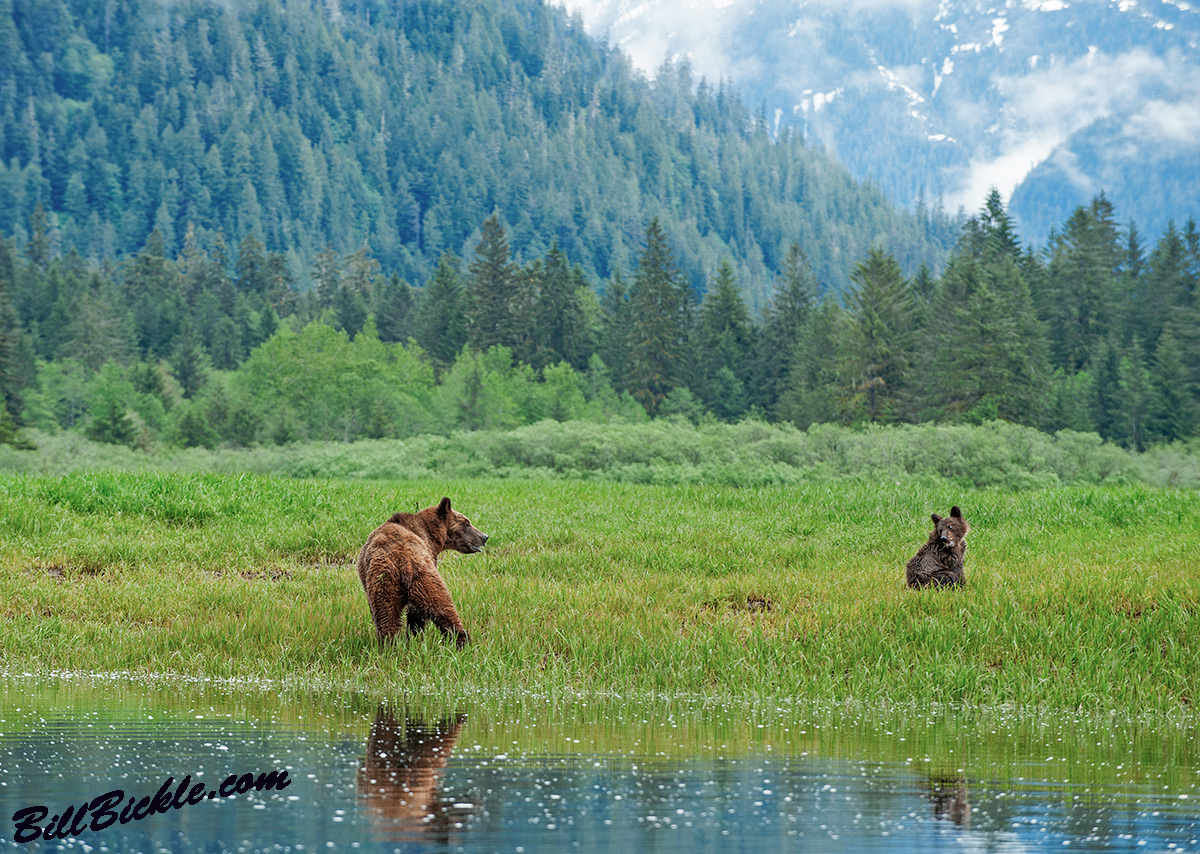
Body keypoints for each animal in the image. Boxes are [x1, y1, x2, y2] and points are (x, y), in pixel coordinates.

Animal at [356, 497, 487, 648]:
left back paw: (390, 645)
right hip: (422, 574)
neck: (431, 535)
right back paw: (462, 641)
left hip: (384, 583)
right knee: (442, 606)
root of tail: (403, 557)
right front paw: (416, 635)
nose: (485, 537)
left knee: (387, 617)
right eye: (467, 523)